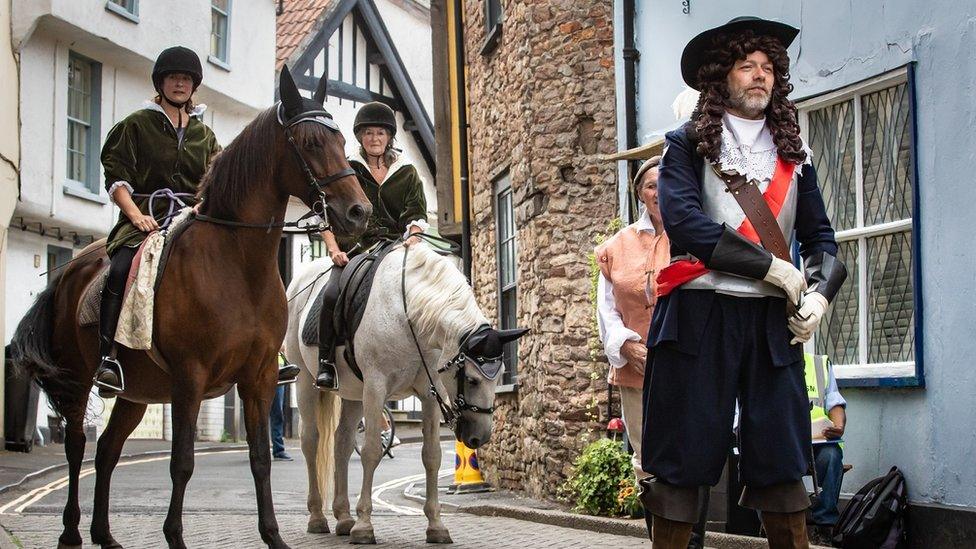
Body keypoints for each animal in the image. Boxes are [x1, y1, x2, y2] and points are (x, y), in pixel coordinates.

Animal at [8, 68, 370, 548]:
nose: (359, 212)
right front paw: (175, 536)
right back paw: (71, 532)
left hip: (136, 393)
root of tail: (71, 271)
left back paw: (105, 533)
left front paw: (273, 536)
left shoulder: (258, 378)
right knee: (77, 445)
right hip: (80, 378)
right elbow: (182, 461)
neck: (236, 263)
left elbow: (260, 459)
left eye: (341, 142)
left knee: (106, 451)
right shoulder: (189, 378)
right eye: (310, 142)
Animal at [282, 242, 528, 540]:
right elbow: (372, 451)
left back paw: (343, 517)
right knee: (311, 441)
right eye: (471, 380)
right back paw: (318, 517)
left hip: (354, 394)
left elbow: (431, 455)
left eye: (499, 376)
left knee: (342, 443)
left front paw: (436, 525)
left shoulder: (429, 394)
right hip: (307, 382)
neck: (407, 315)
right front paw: (365, 526)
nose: (479, 438)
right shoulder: (375, 389)